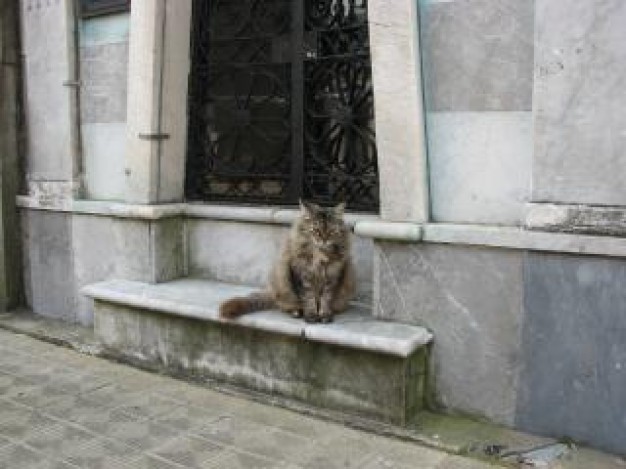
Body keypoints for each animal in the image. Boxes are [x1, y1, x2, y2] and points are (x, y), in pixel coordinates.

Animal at [219, 199, 354, 324]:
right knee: (286, 305)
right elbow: (308, 299)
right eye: (316, 230)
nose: (324, 240)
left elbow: (325, 299)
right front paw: (311, 315)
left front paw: (325, 315)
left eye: (331, 231)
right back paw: (296, 312)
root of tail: (272, 291)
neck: (319, 254)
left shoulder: (332, 278)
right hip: (283, 283)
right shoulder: (301, 276)